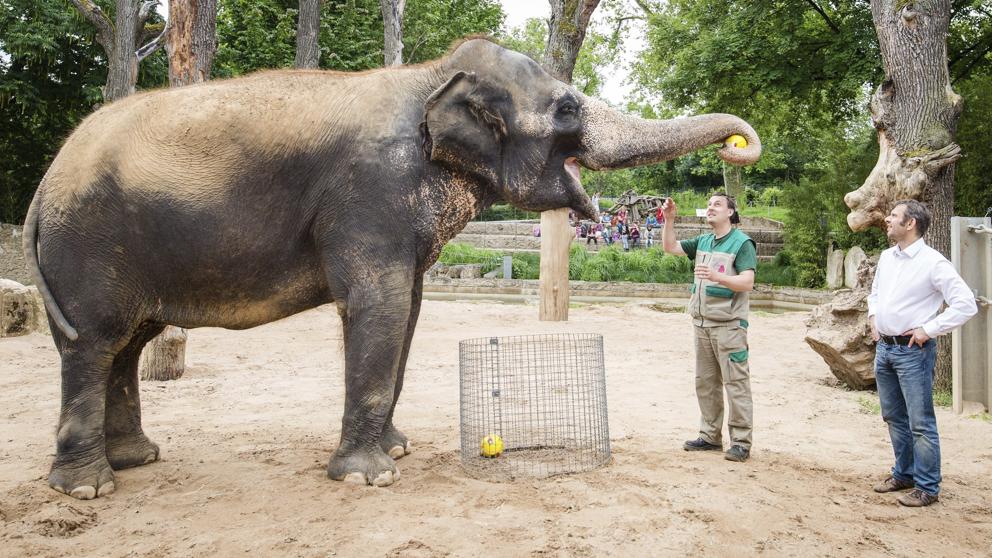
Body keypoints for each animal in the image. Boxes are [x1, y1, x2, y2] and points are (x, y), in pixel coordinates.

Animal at [23, 37, 760, 500]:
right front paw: (369, 478)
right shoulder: (368, 194)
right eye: (568, 109)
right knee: (96, 343)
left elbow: (407, 309)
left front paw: (397, 451)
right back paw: (90, 488)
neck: (429, 76)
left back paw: (136, 461)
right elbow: (376, 305)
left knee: (126, 344)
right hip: (88, 245)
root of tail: (42, 184)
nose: (737, 146)